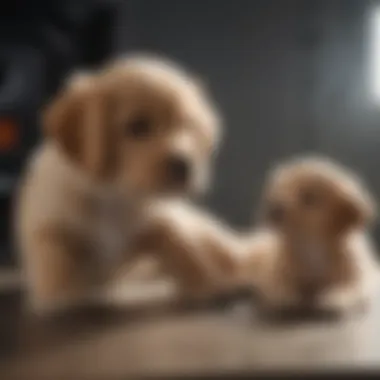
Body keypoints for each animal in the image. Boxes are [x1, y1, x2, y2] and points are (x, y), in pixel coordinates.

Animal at [240, 157, 380, 314]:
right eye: (277, 188)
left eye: (309, 198)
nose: (272, 207)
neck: (311, 245)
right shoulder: (274, 269)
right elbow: (276, 284)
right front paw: (285, 294)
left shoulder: (360, 276)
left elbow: (352, 288)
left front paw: (336, 296)